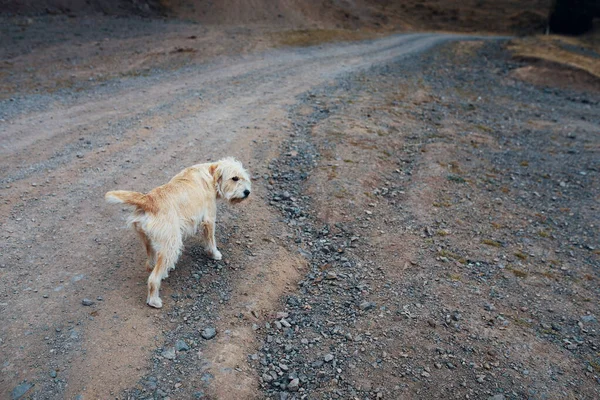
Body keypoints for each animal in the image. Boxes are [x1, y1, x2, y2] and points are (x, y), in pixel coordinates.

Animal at [105, 158, 251, 308]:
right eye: (234, 178)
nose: (247, 192)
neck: (210, 174)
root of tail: (148, 200)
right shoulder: (209, 220)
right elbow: (211, 241)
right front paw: (214, 254)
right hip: (171, 245)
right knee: (153, 279)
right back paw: (154, 300)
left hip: (150, 242)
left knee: (151, 264)